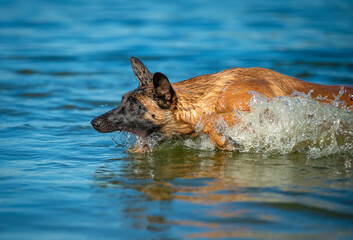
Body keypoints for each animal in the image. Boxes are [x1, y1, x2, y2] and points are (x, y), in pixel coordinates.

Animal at [91, 57, 352, 151]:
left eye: (134, 106)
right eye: (122, 101)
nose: (94, 122)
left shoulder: (264, 108)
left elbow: (210, 121)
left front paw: (225, 140)